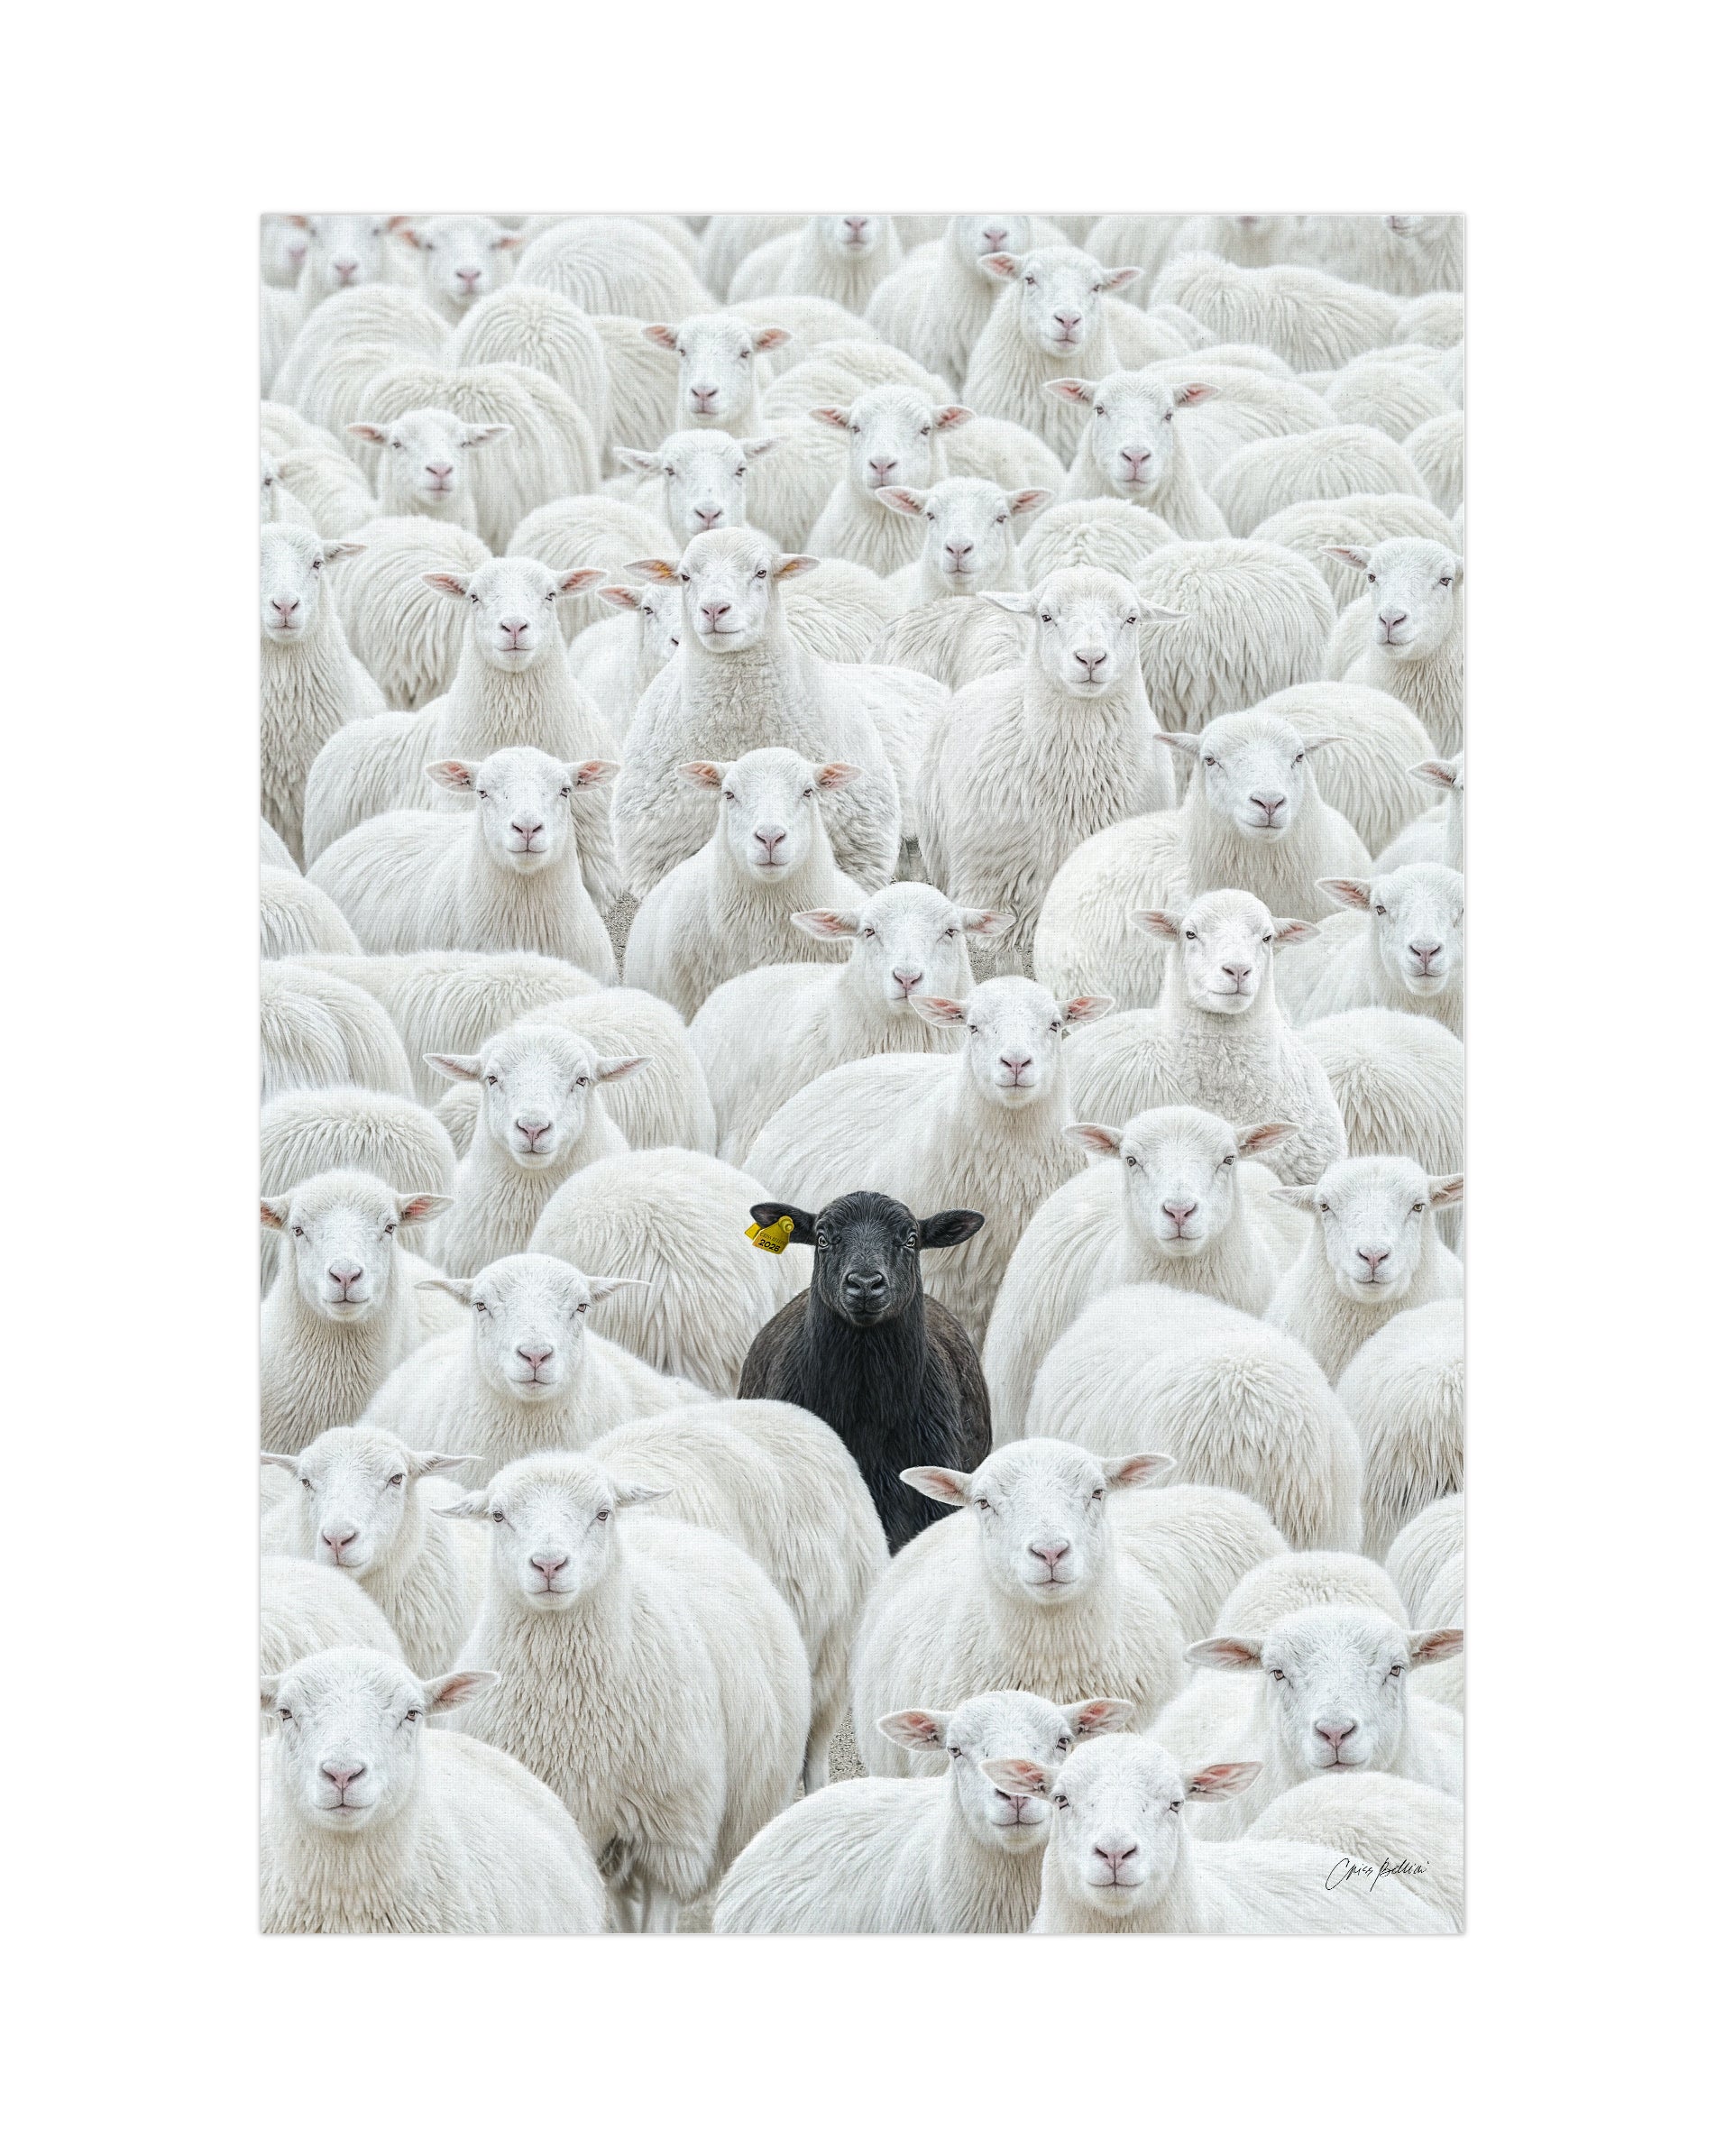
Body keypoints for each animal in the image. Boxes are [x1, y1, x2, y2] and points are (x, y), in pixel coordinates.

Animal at [438, 1452, 809, 1930]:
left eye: (603, 1513)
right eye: (498, 1516)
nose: (549, 1565)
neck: (569, 1706)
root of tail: (671, 1525)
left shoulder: (670, 1839)